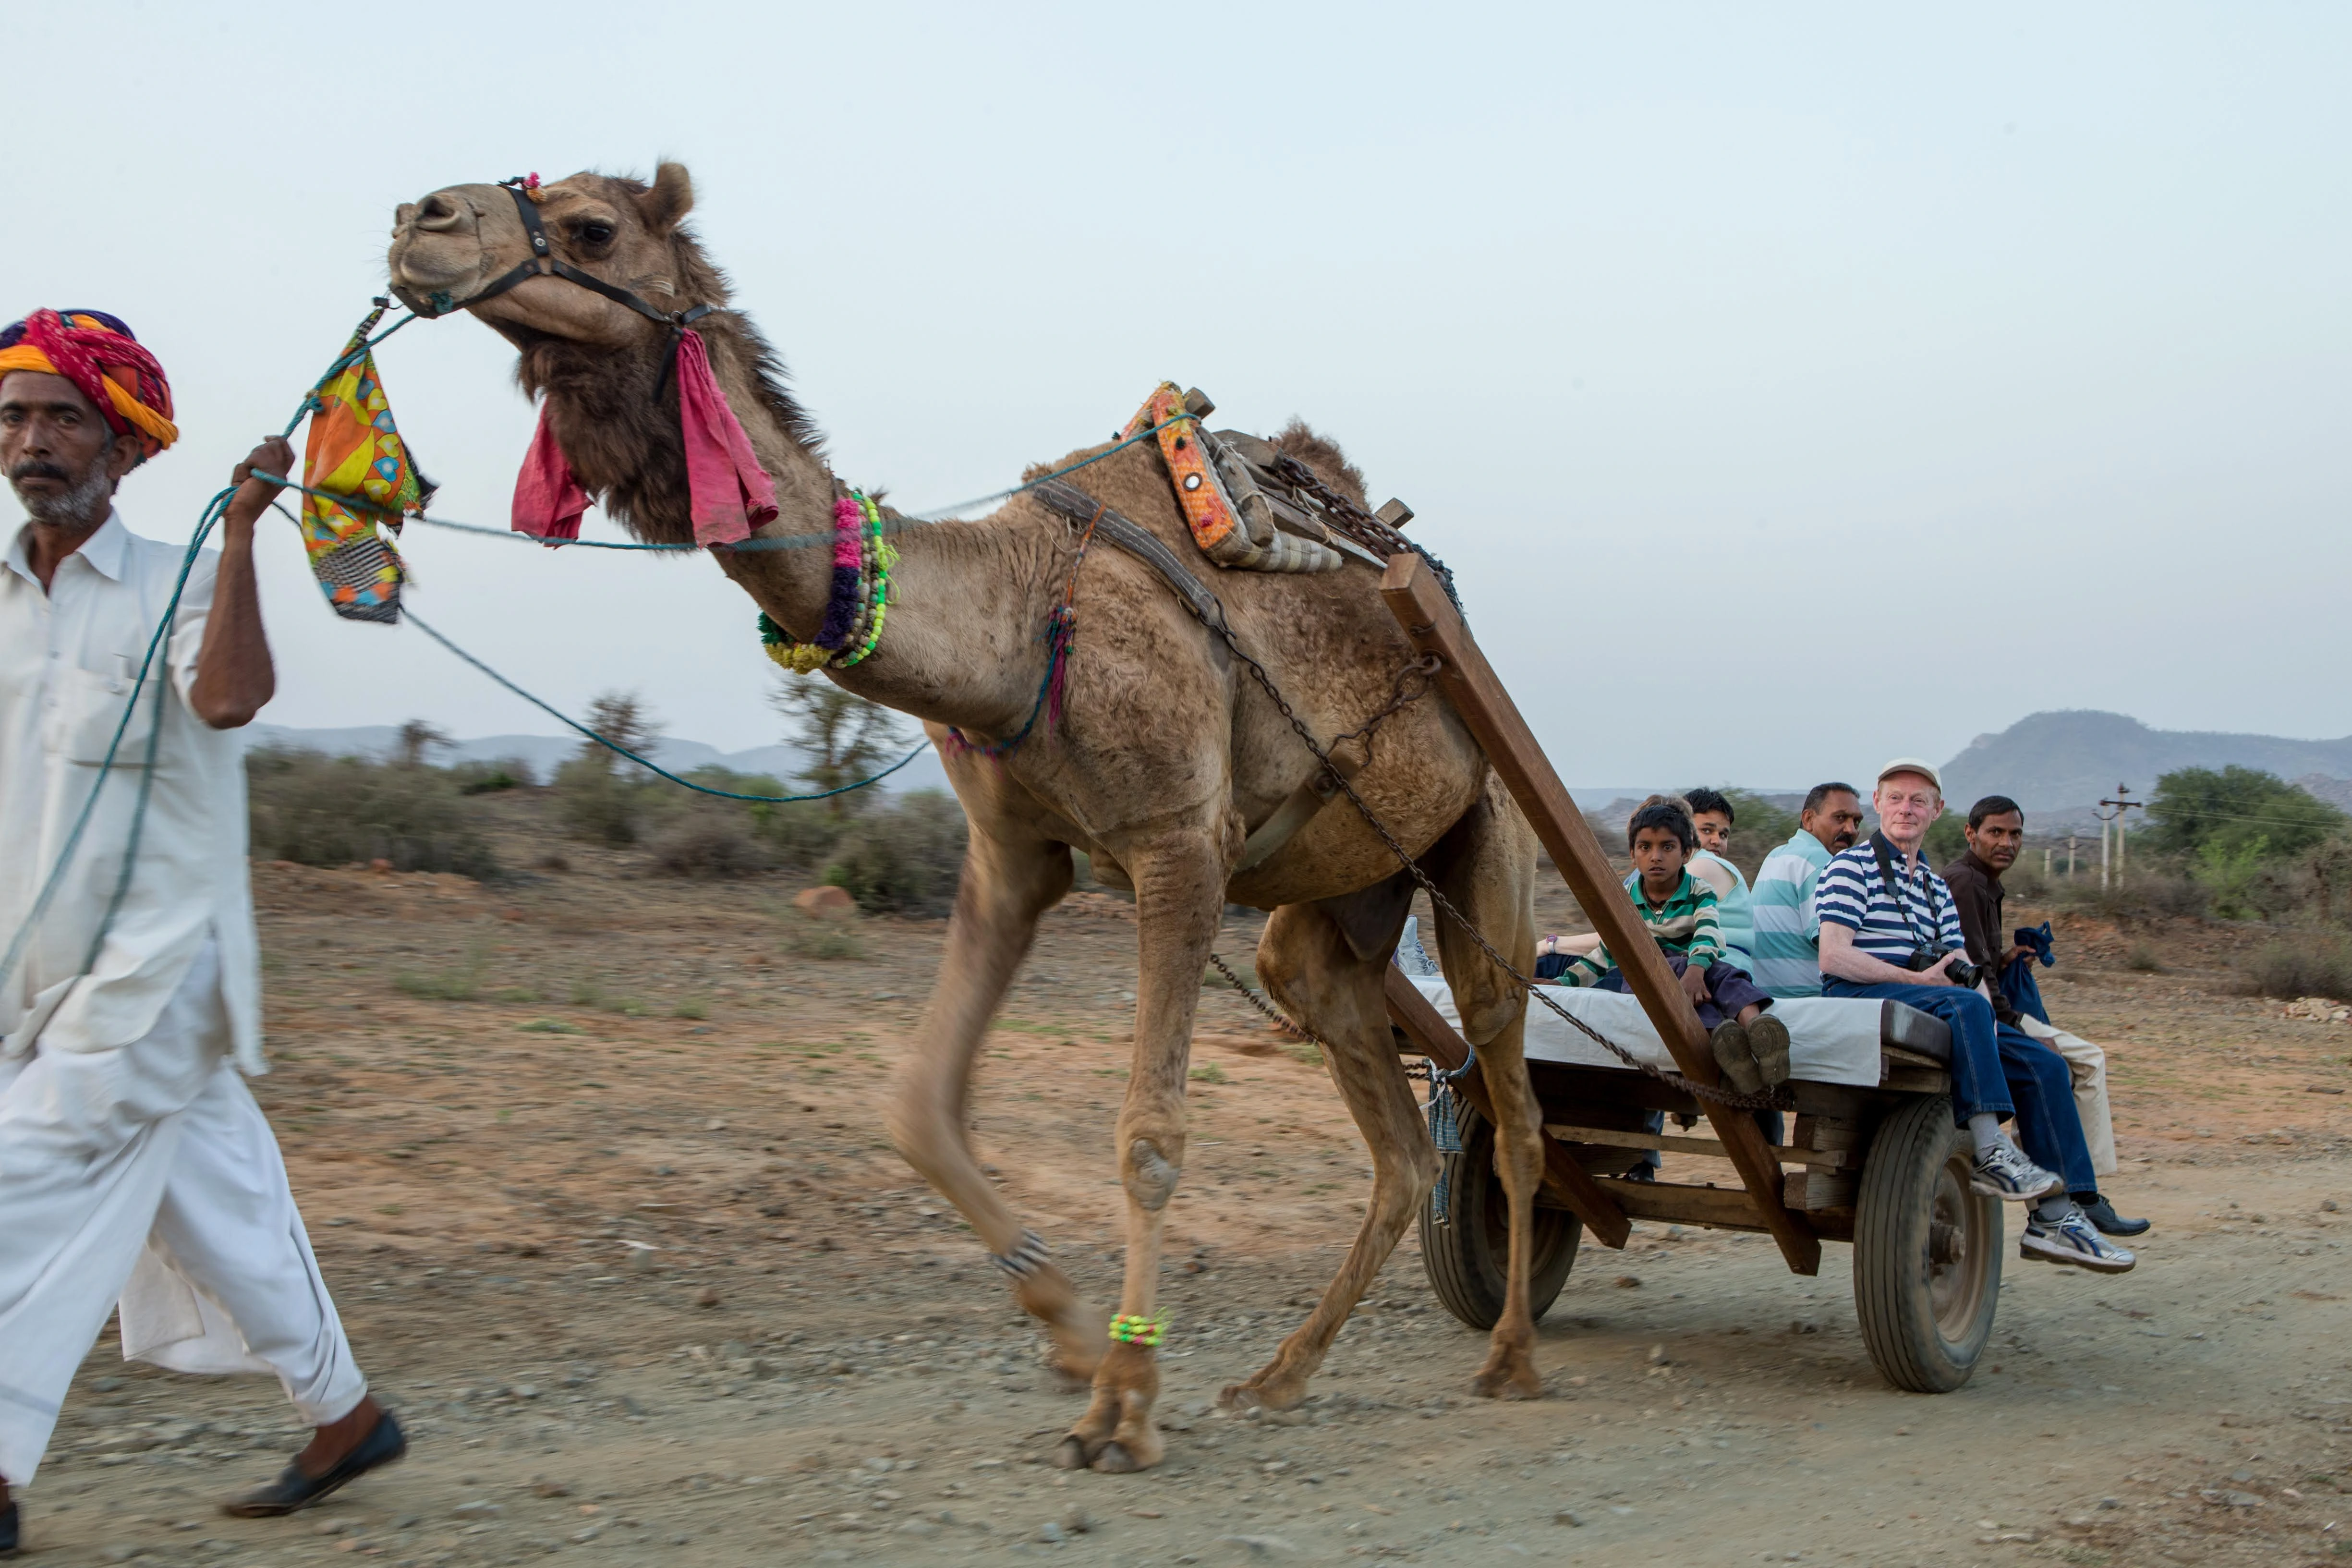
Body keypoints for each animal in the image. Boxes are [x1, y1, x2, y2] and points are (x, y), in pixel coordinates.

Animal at [387, 164, 1550, 1472]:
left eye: (592, 227)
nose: (420, 221)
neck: (1018, 613)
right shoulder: (1013, 856)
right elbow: (914, 1106)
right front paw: (1075, 1334)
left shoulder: (1178, 845)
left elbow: (1148, 1135)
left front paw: (1123, 1400)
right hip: (1338, 907)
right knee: (1397, 1137)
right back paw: (1276, 1376)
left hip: (1487, 847)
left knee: (1511, 1101)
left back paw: (1508, 1354)